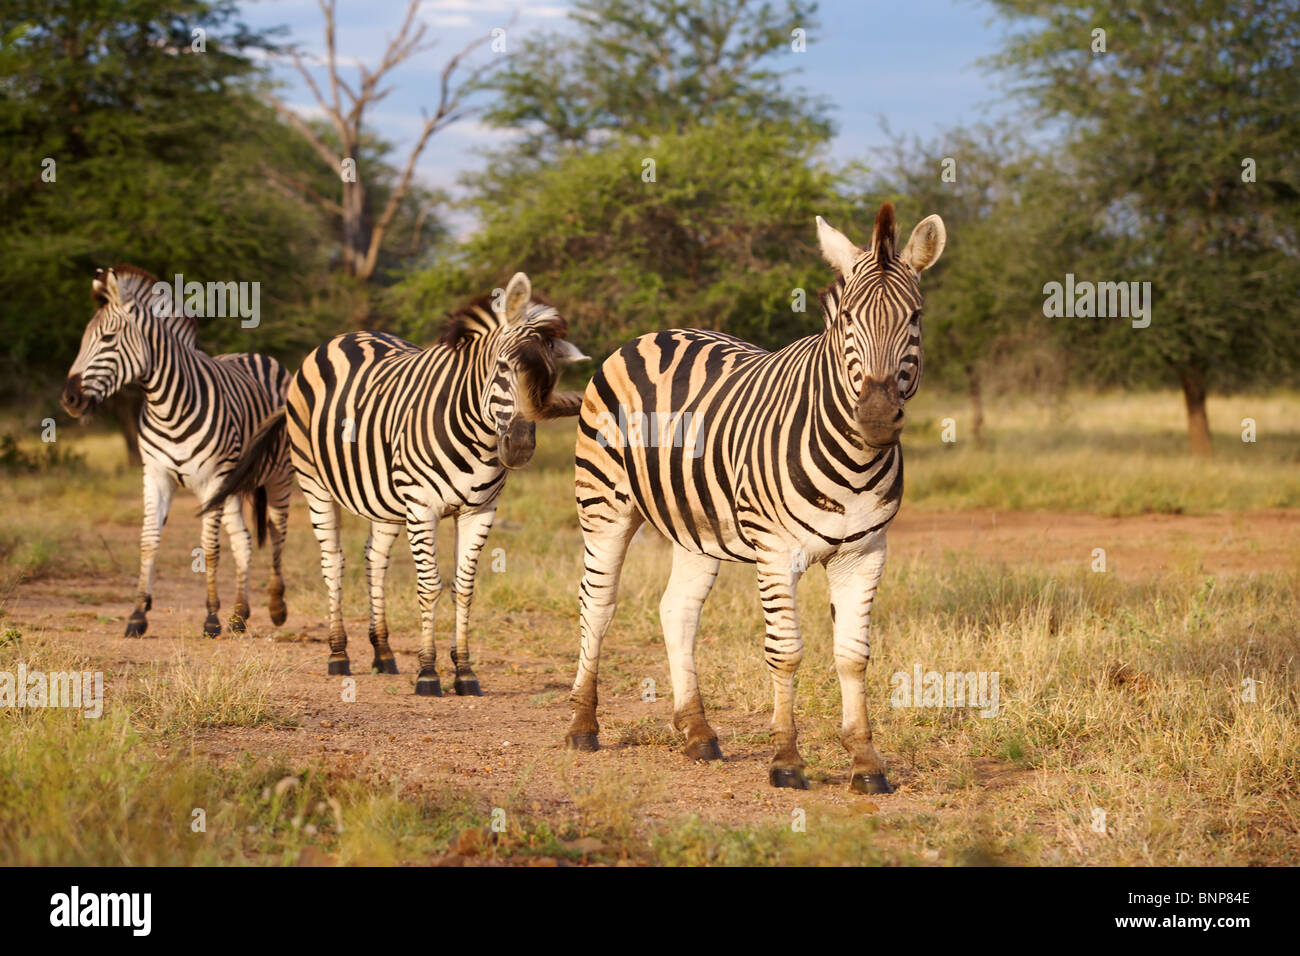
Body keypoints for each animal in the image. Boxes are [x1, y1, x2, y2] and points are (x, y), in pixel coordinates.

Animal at [61, 265, 295, 642]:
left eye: (108, 339)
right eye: (84, 340)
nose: (69, 399)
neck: (166, 406)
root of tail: (259, 355)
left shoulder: (212, 479)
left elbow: (210, 549)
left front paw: (210, 619)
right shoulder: (156, 475)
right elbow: (148, 541)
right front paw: (137, 615)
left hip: (279, 476)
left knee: (277, 534)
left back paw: (275, 608)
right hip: (231, 486)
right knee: (244, 541)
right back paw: (239, 615)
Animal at [200, 269, 587, 697]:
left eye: (550, 378)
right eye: (502, 366)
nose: (518, 448)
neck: (475, 432)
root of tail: (345, 336)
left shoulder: (480, 510)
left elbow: (465, 587)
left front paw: (464, 671)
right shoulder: (422, 507)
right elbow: (430, 586)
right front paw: (429, 673)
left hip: (381, 498)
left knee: (374, 559)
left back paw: (383, 652)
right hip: (314, 482)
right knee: (333, 562)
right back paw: (338, 654)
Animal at [566, 205, 946, 796]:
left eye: (915, 317)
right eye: (847, 319)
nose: (878, 419)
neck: (855, 459)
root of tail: (655, 334)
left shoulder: (865, 553)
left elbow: (853, 656)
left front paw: (866, 763)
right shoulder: (776, 553)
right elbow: (786, 653)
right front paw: (786, 760)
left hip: (695, 524)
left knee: (677, 610)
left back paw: (698, 733)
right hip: (604, 504)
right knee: (598, 604)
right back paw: (584, 725)